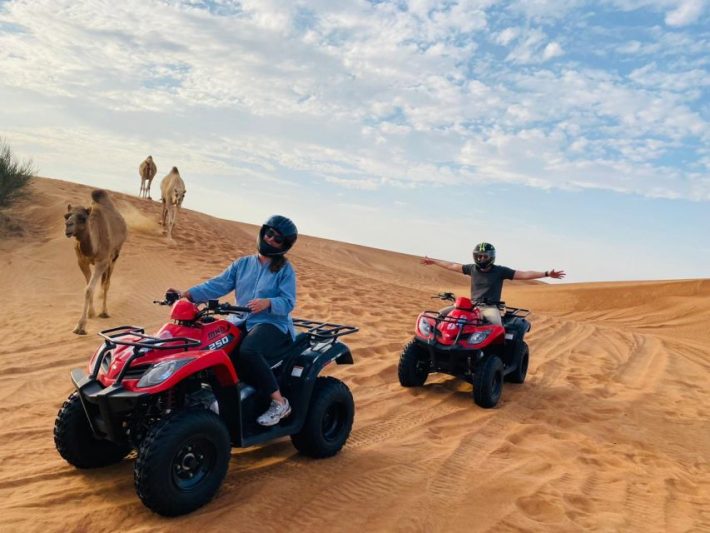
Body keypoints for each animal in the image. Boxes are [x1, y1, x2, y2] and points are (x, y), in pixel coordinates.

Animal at [64, 189, 128, 334]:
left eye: (82, 218)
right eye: (66, 216)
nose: (68, 226)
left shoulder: (102, 262)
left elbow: (90, 289)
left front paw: (81, 326)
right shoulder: (81, 261)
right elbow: (88, 287)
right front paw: (90, 313)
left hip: (114, 257)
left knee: (107, 283)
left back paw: (104, 312)